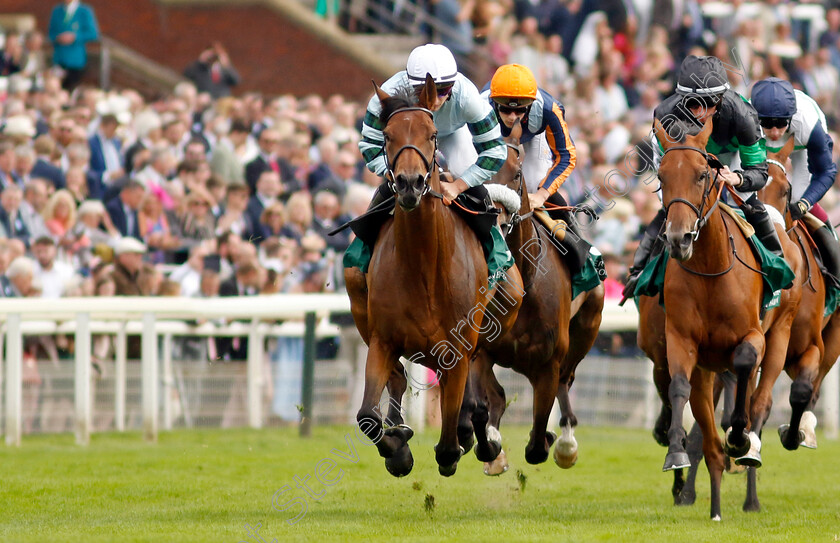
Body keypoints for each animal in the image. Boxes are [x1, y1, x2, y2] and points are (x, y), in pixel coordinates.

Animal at [344, 75, 520, 476]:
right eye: (388, 135)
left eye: (432, 134)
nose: (410, 183)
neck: (424, 267)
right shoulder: (383, 340)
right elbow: (367, 416)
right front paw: (398, 451)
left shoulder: (458, 347)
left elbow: (452, 434)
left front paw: (466, 443)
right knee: (396, 381)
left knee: (475, 400)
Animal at [462, 118, 608, 472]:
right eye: (479, 173)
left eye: (516, 174)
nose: (496, 219)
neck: (526, 284)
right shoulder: (482, 351)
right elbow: (488, 403)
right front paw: (491, 446)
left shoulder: (548, 364)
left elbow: (538, 439)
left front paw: (552, 440)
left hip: (587, 325)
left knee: (567, 381)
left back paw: (566, 441)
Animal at [640, 117, 804, 520]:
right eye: (662, 176)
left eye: (702, 175)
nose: (679, 238)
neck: (711, 269)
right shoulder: (681, 341)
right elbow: (678, 388)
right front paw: (675, 452)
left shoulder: (753, 337)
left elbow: (744, 366)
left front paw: (741, 438)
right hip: (706, 367)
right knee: (708, 434)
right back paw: (713, 504)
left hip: (781, 334)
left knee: (760, 400)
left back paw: (749, 473)